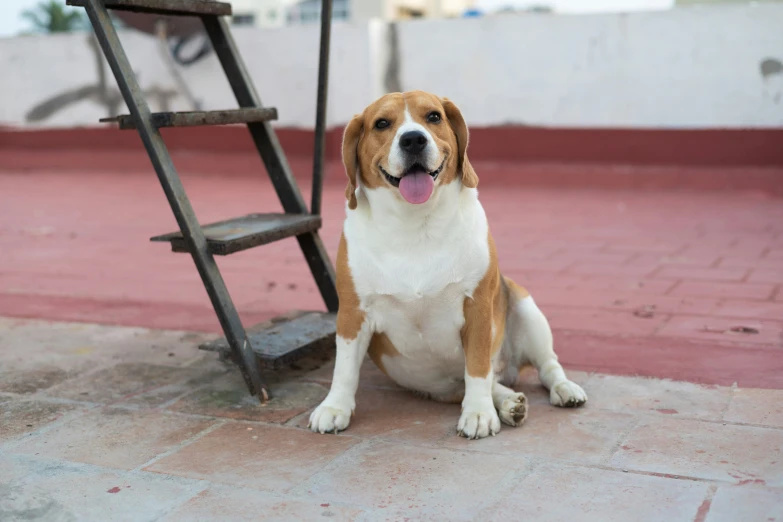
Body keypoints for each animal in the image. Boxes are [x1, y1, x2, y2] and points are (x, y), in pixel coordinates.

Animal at [310, 91, 584, 436]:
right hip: (443, 385)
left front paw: (478, 413)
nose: (413, 139)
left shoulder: (478, 308)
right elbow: (344, 368)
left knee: (545, 367)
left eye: (434, 117)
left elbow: (477, 367)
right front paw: (335, 407)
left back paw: (562, 389)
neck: (415, 225)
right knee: (491, 384)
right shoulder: (352, 312)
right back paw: (510, 403)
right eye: (382, 123)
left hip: (526, 308)